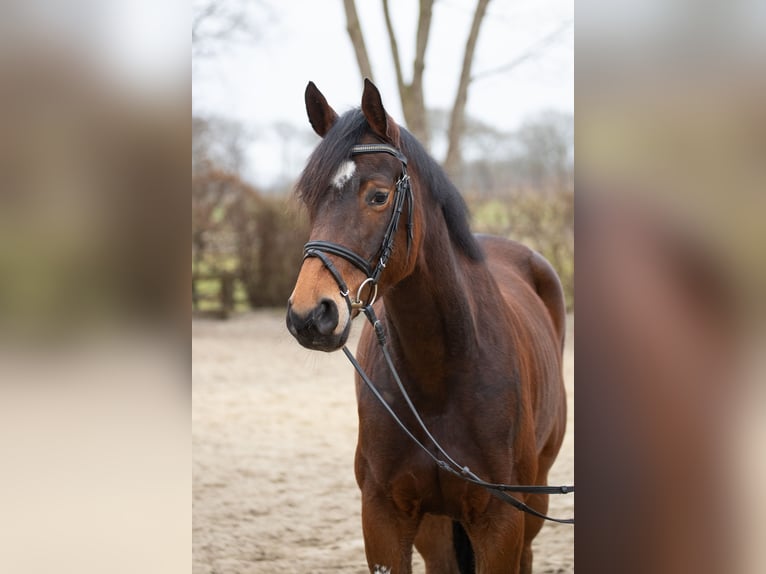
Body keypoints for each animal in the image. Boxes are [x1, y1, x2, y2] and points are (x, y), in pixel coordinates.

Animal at [288, 81, 568, 574]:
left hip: (534, 506)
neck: (442, 373)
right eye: (311, 197)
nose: (310, 315)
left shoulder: (501, 522)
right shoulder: (384, 516)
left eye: (378, 196)